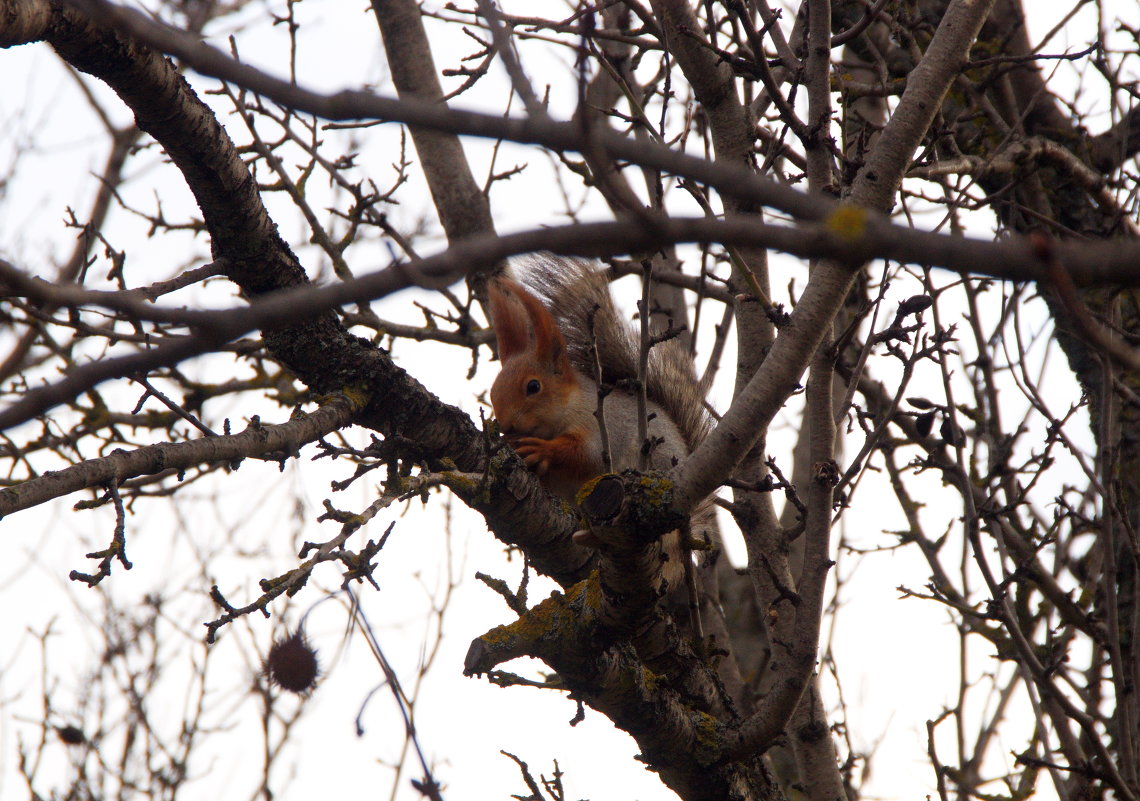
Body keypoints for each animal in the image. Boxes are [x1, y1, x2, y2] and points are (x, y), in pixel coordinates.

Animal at [487, 255, 711, 587]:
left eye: (533, 386)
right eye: (492, 392)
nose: (506, 426)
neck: (567, 409)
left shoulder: (602, 425)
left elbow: (585, 454)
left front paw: (542, 450)